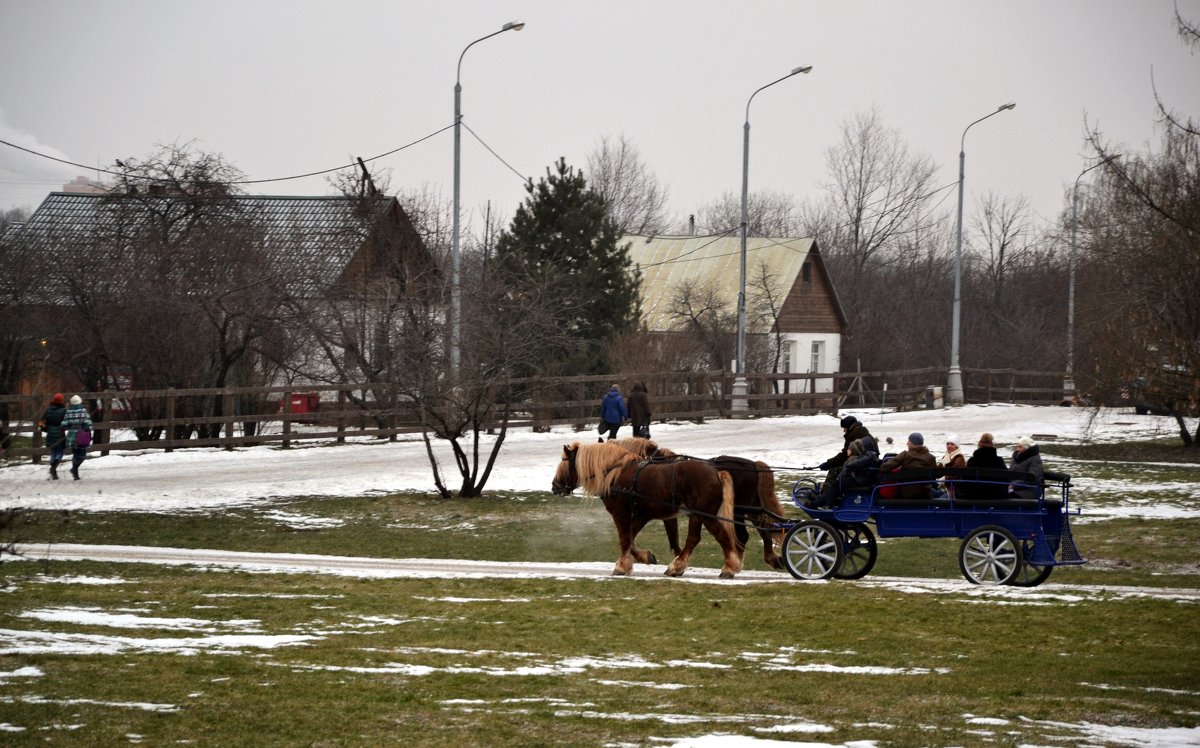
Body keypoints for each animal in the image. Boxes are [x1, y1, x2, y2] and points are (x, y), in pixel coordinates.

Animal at [552, 441, 739, 583]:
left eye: (565, 462)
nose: (555, 486)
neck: (615, 474)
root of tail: (716, 473)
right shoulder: (641, 515)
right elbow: (630, 539)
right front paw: (646, 557)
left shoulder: (621, 514)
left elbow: (624, 540)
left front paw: (621, 567)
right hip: (696, 516)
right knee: (693, 539)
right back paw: (676, 567)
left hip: (706, 515)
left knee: (721, 536)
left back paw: (728, 569)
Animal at [609, 437, 787, 571]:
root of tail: (754, 465)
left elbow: (668, 536)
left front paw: (677, 559)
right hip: (750, 508)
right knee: (763, 529)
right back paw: (765, 559)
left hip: (740, 509)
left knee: (746, 535)